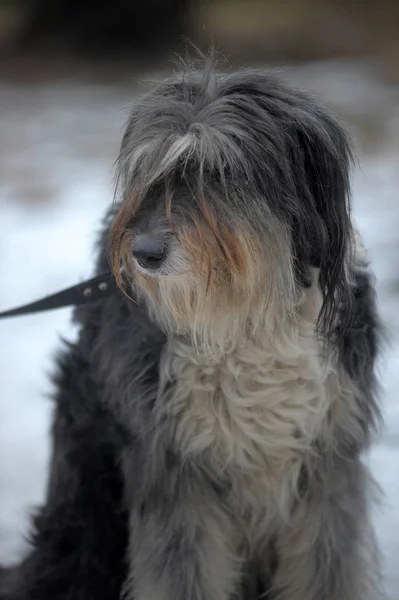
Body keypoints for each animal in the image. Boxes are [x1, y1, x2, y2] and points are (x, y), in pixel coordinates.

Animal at [0, 57, 384, 600]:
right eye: (150, 174)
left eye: (219, 172)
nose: (144, 254)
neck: (245, 317)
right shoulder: (174, 469)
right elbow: (183, 571)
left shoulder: (330, 459)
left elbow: (328, 568)